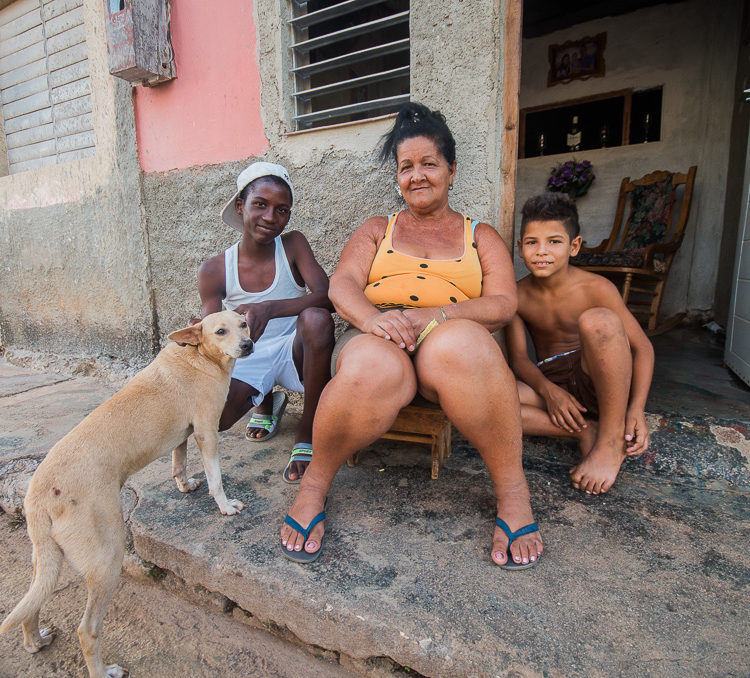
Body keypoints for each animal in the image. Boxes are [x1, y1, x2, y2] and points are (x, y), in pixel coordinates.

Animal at [0, 312, 254, 678]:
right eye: (221, 331)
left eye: (243, 323)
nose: (248, 344)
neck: (198, 355)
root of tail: (38, 494)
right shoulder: (207, 432)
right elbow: (215, 478)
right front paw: (224, 505)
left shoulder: (184, 434)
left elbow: (179, 461)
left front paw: (185, 485)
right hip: (107, 558)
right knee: (87, 629)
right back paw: (103, 671)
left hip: (46, 558)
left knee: (31, 601)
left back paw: (35, 640)